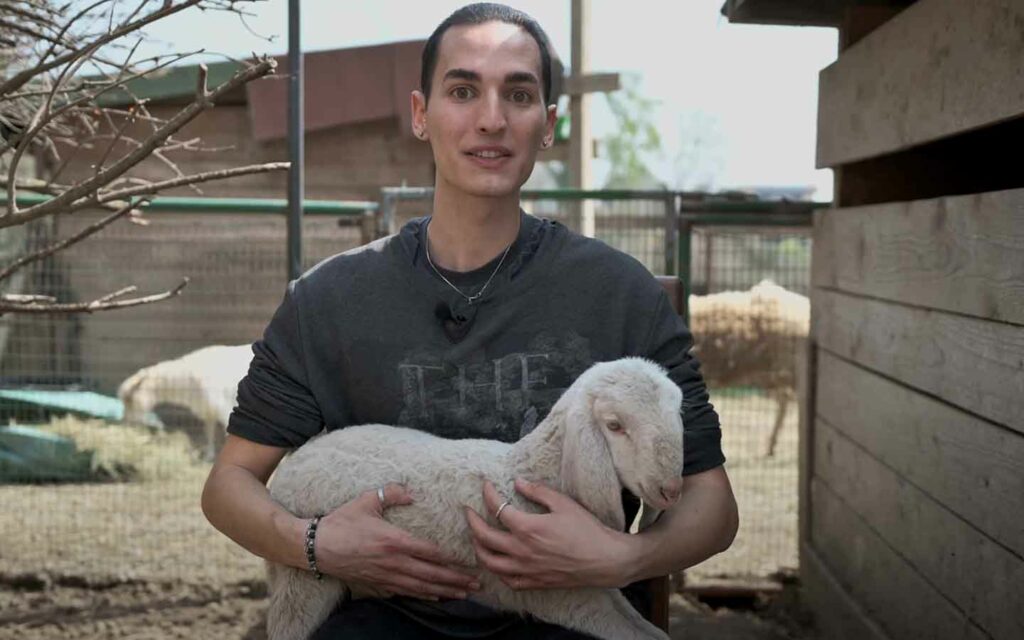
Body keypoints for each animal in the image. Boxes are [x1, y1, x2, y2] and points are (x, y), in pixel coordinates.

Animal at [115, 344, 249, 458]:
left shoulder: (224, 411)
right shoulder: (208, 412)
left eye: (129, 399)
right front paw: (209, 456)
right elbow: (209, 433)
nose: (125, 423)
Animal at [268, 356, 688, 638]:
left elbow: (652, 631)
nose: (671, 490)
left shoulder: (595, 579)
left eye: (678, 412)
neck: (531, 474)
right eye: (615, 426)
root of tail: (294, 462)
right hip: (300, 583)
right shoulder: (564, 596)